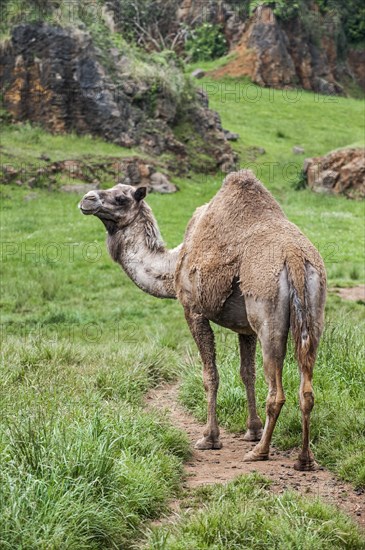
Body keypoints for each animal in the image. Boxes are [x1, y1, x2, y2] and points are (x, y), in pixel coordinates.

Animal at [79, 170, 324, 472]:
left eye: (121, 198)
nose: (87, 199)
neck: (172, 266)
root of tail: (294, 257)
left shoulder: (193, 310)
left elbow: (210, 375)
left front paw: (210, 437)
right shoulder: (246, 328)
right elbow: (247, 373)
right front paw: (252, 430)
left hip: (269, 319)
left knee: (277, 390)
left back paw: (260, 452)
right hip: (313, 313)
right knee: (307, 388)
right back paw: (304, 458)